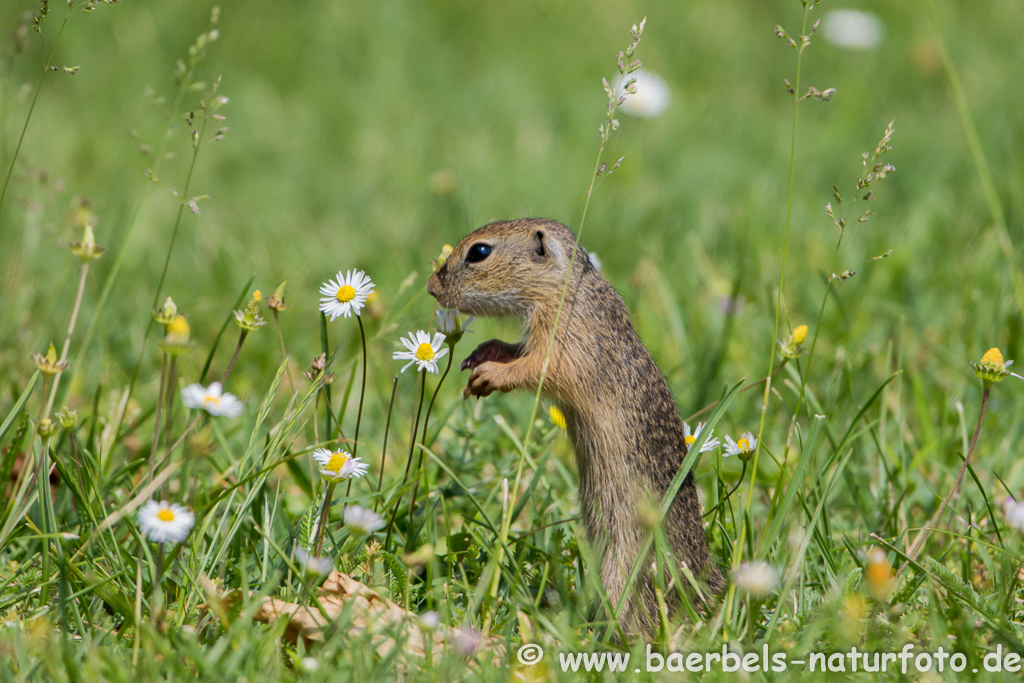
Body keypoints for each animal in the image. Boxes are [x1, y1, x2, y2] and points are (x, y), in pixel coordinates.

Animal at [428, 219, 724, 634]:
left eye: (479, 252)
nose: (431, 286)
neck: (570, 291)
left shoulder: (568, 346)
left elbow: (538, 367)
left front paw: (490, 375)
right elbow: (518, 350)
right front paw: (484, 354)